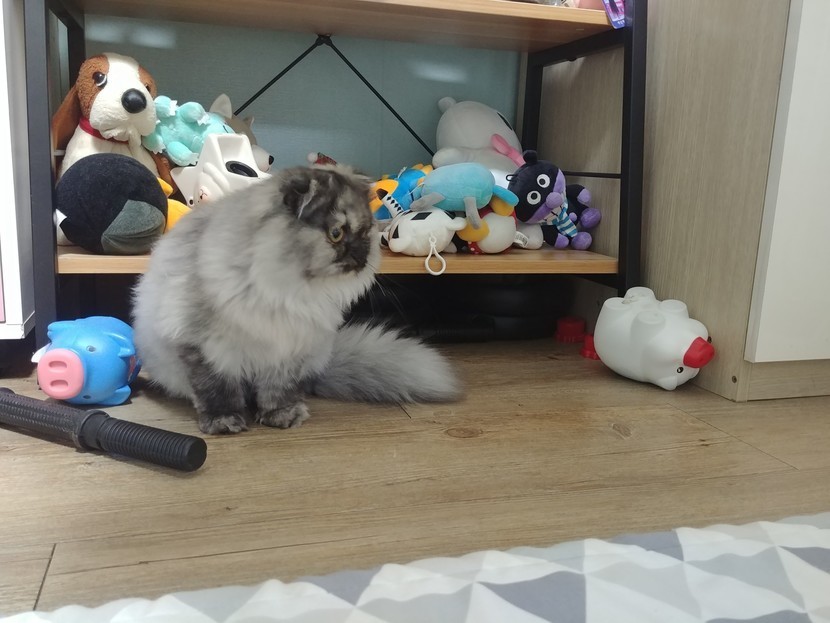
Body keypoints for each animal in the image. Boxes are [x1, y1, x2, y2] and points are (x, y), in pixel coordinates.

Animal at [132, 164, 461, 434]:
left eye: (366, 233)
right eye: (336, 234)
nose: (361, 258)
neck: (293, 291)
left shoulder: (288, 353)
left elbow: (278, 392)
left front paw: (282, 417)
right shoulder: (203, 347)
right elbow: (217, 390)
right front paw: (224, 422)